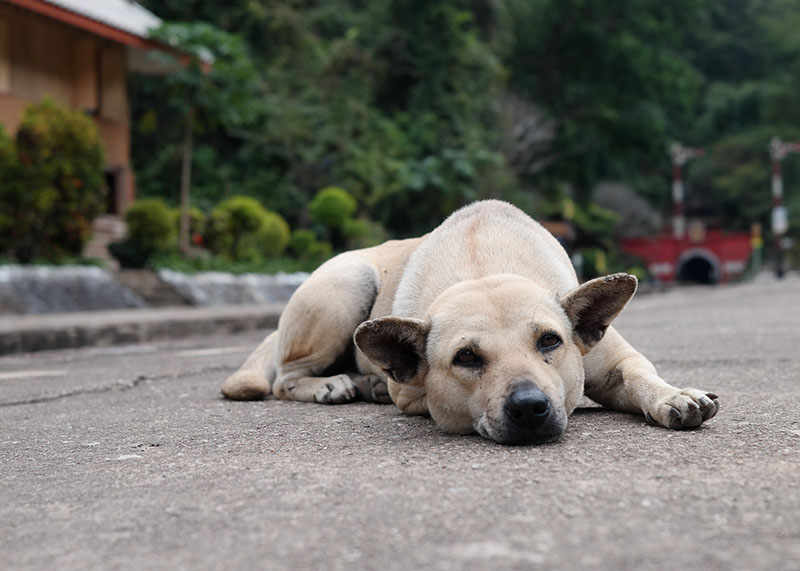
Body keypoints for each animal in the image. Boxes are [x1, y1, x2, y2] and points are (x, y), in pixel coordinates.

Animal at [220, 201, 720, 446]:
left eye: (550, 342)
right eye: (466, 358)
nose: (529, 408)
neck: (485, 267)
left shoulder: (608, 360)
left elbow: (637, 374)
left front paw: (672, 395)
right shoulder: (413, 393)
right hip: (347, 282)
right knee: (285, 378)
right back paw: (333, 384)